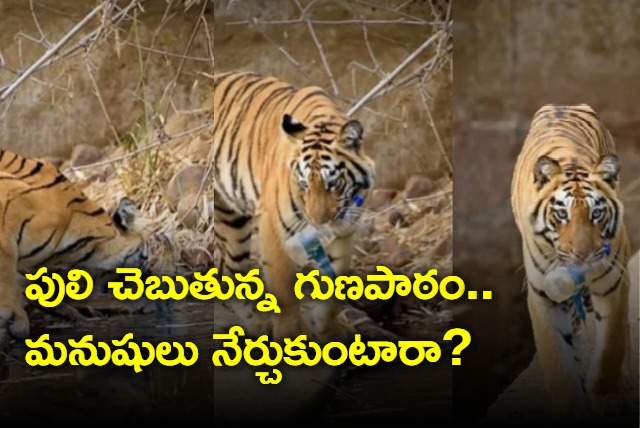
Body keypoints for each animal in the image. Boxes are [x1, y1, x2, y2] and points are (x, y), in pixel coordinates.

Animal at [209, 70, 375, 341]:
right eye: (304, 184)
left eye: (333, 183)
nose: (319, 222)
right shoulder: (273, 227)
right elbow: (283, 290)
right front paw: (291, 333)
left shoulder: (344, 230)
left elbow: (335, 285)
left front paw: (327, 328)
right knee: (229, 271)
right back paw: (258, 324)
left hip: (234, 222)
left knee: (228, 269)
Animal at [510, 104, 632, 419]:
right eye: (561, 214)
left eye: (596, 213)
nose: (583, 254)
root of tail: (561, 105)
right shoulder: (542, 295)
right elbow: (557, 361)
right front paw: (571, 406)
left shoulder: (614, 285)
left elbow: (610, 347)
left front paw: (607, 396)